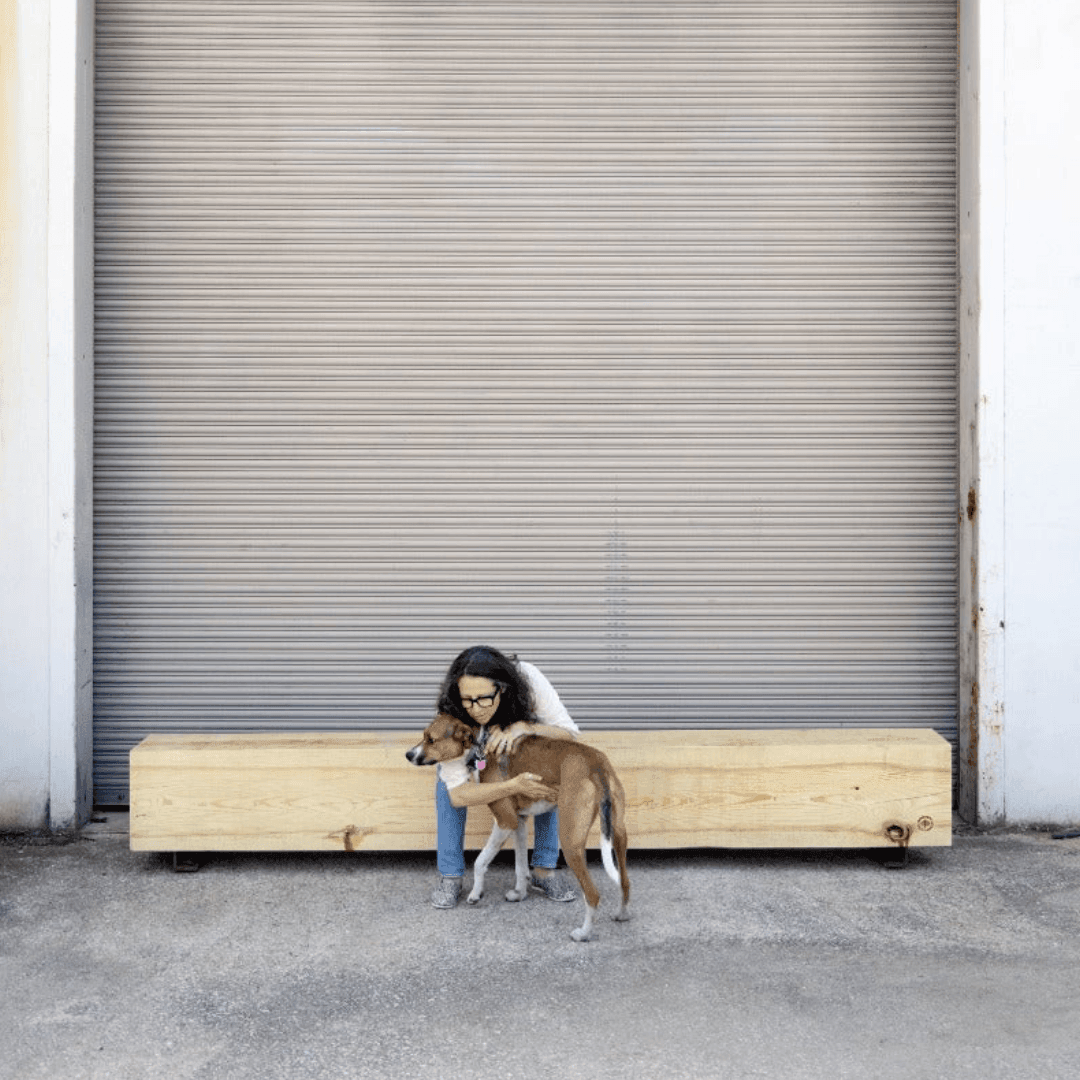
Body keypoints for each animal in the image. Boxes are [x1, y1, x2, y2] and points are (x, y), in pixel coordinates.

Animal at [408, 708, 635, 937]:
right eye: (424, 736)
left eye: (431, 739)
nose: (408, 754)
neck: (480, 746)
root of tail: (595, 764)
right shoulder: (520, 822)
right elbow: (520, 866)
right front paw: (520, 894)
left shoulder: (505, 821)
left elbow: (480, 862)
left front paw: (475, 893)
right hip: (618, 833)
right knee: (625, 881)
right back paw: (622, 914)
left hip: (570, 841)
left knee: (593, 894)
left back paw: (583, 933)